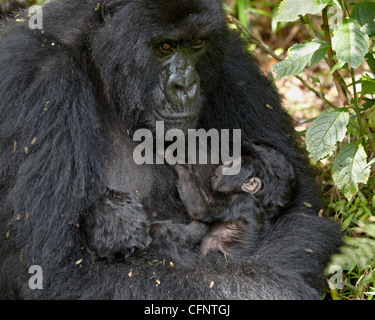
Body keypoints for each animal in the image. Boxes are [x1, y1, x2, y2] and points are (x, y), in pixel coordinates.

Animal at [167, 144, 296, 258]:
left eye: (231, 164)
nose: (223, 164)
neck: (259, 201)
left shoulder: (242, 201)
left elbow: (202, 208)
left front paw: (181, 163)